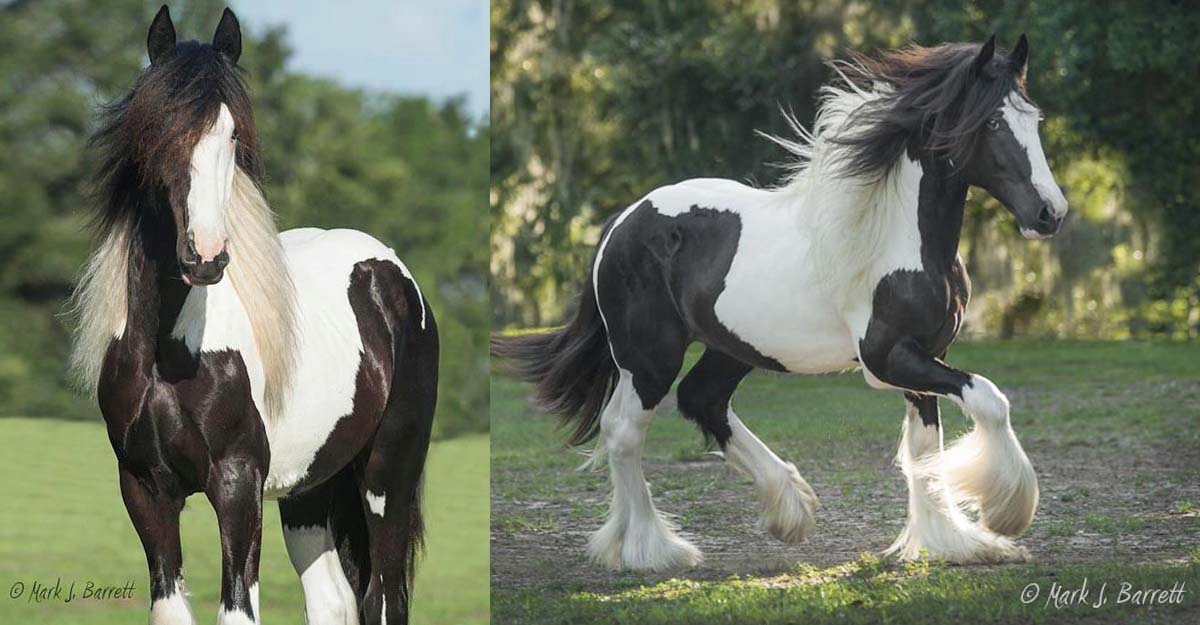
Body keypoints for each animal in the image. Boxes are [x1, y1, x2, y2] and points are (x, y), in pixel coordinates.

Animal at [70, 6, 439, 623]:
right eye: (159, 128)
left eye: (234, 135)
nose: (207, 255)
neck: (171, 348)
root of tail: (393, 275)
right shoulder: (145, 491)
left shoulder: (238, 484)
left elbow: (237, 609)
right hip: (309, 487)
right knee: (333, 600)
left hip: (386, 477)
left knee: (383, 597)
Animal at [494, 35, 1070, 571]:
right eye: (992, 123)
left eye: (1035, 118)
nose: (1051, 213)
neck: (900, 238)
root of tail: (622, 222)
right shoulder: (888, 359)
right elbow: (988, 398)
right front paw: (1007, 513)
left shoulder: (926, 356)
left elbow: (926, 449)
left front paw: (953, 543)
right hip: (649, 359)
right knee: (624, 431)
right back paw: (653, 551)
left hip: (731, 348)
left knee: (701, 400)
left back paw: (789, 508)